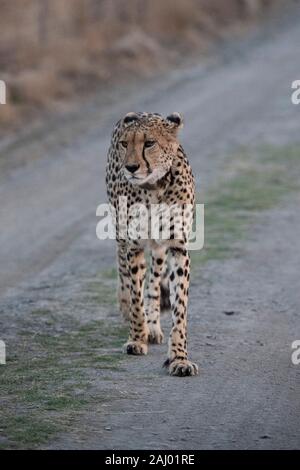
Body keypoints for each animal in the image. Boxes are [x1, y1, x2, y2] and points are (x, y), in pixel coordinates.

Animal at [106, 112, 199, 376]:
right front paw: (137, 338)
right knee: (124, 272)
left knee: (155, 282)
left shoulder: (178, 248)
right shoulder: (134, 246)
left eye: (149, 143)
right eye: (125, 144)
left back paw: (154, 326)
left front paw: (179, 358)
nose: (131, 167)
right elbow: (136, 295)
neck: (155, 187)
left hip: (158, 249)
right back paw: (128, 309)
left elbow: (179, 308)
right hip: (121, 234)